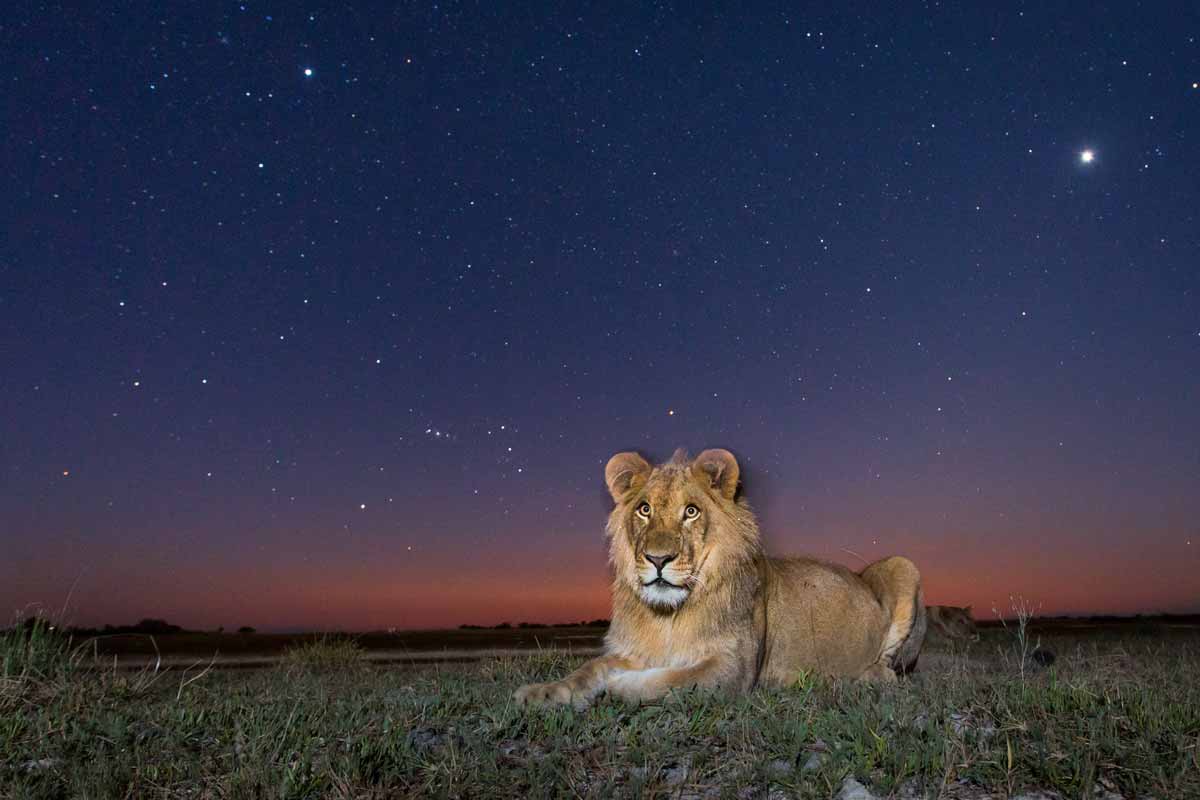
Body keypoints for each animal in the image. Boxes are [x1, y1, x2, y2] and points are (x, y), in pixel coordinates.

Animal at [511, 448, 921, 710]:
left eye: (691, 512)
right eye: (644, 509)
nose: (658, 559)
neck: (668, 616)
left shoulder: (733, 668)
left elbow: (670, 681)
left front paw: (618, 686)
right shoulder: (633, 650)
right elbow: (589, 668)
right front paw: (542, 693)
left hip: (904, 566)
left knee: (891, 672)